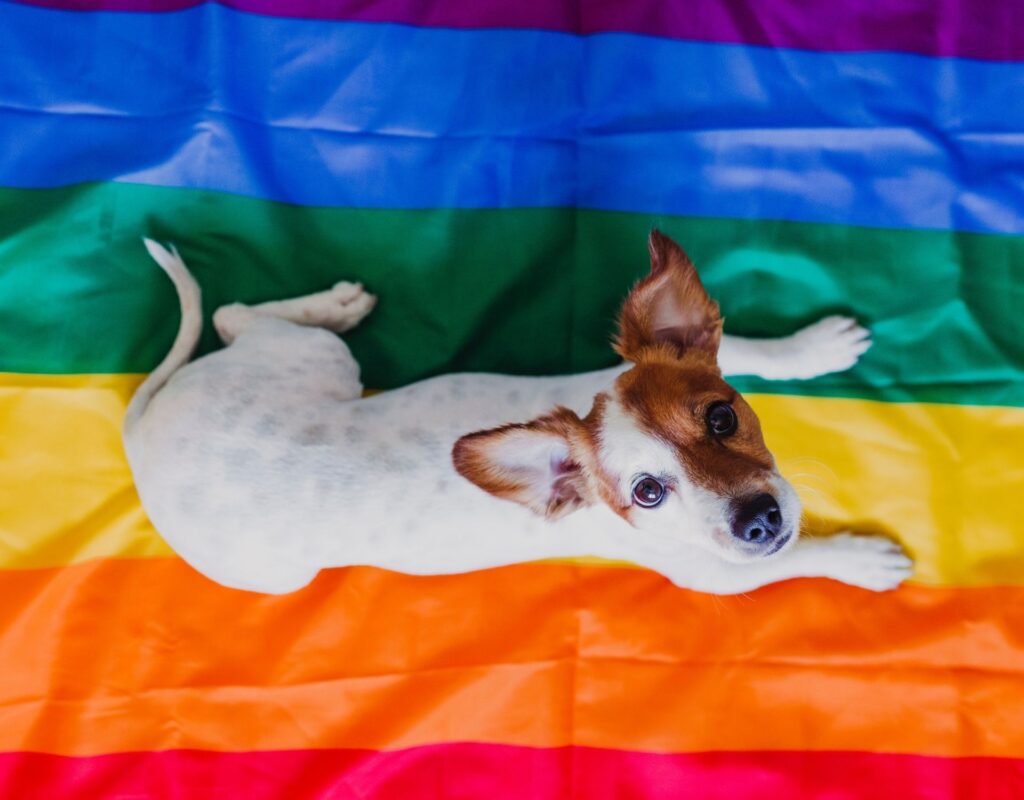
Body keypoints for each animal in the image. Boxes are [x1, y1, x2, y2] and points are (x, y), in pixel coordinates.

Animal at [121, 230, 913, 594]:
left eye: (722, 418)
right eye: (646, 494)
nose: (759, 520)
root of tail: (140, 434)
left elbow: (751, 348)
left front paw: (810, 348)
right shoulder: (721, 575)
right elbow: (799, 561)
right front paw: (860, 559)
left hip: (309, 359)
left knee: (230, 313)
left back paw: (336, 303)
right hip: (275, 561)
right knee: (228, 311)